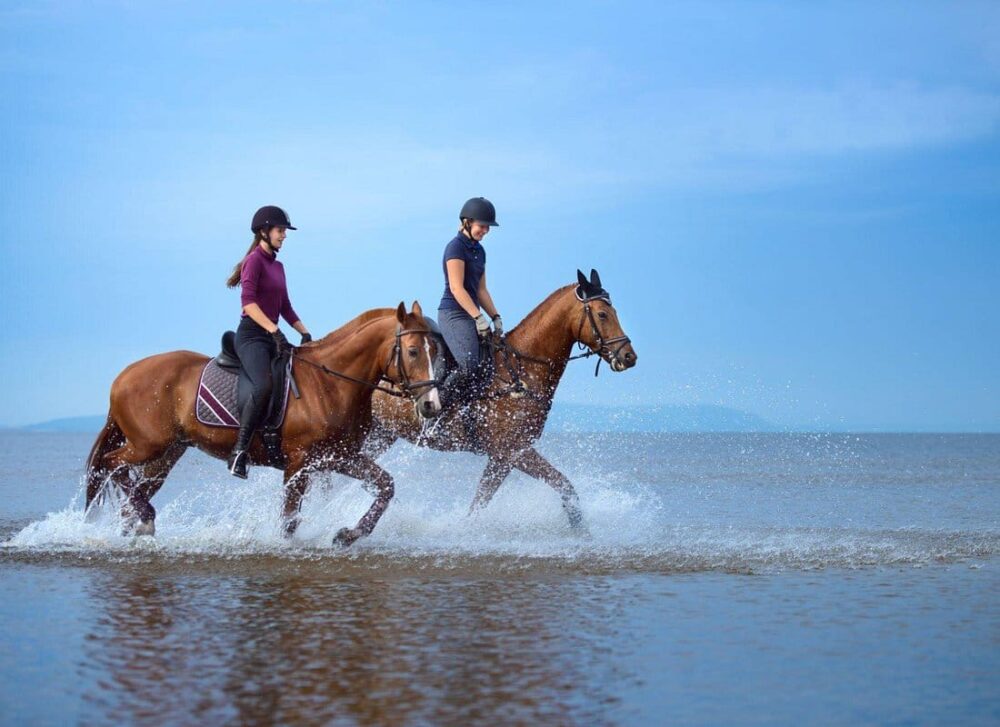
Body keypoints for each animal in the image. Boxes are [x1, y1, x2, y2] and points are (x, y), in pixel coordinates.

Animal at [85, 302, 441, 547]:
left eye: (435, 351)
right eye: (412, 351)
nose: (431, 405)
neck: (330, 383)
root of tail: (123, 375)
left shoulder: (338, 456)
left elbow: (386, 485)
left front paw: (349, 534)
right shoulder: (299, 463)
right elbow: (289, 520)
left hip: (167, 454)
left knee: (132, 484)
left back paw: (136, 522)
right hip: (148, 445)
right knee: (110, 464)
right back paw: (143, 518)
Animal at [365, 270, 637, 528]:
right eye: (602, 314)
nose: (629, 356)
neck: (521, 369)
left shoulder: (510, 454)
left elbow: (562, 488)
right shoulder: (509, 452)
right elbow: (483, 503)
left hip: (381, 434)